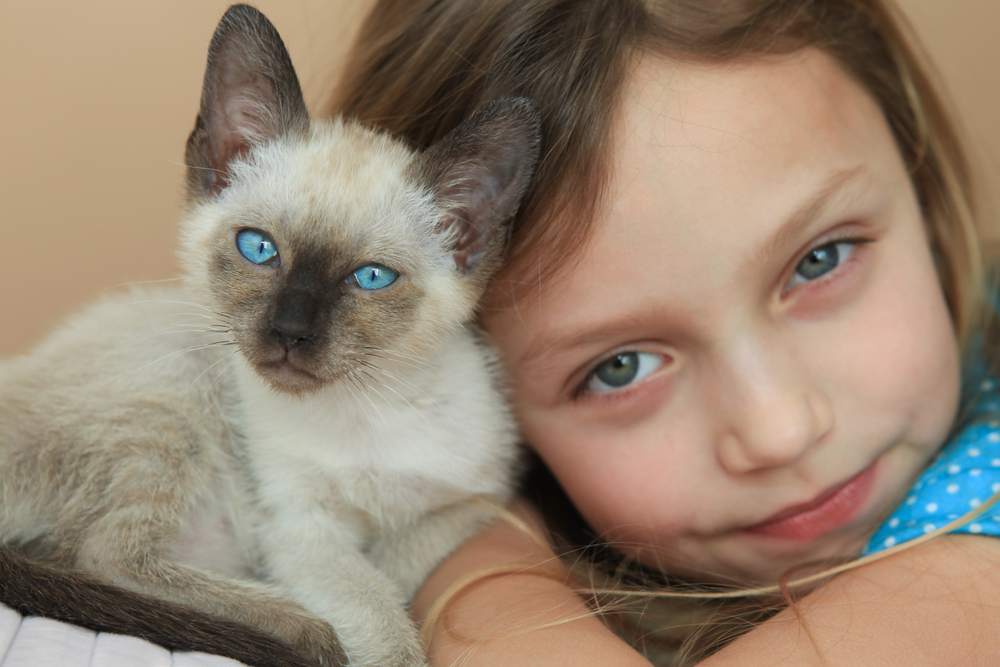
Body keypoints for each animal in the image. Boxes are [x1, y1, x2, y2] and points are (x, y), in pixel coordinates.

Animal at [1, 5, 540, 667]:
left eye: (371, 278)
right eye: (259, 248)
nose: (289, 333)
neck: (370, 407)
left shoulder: (481, 497)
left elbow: (402, 570)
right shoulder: (299, 528)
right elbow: (384, 623)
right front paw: (366, 635)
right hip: (173, 390)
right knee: (99, 555)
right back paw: (301, 628)